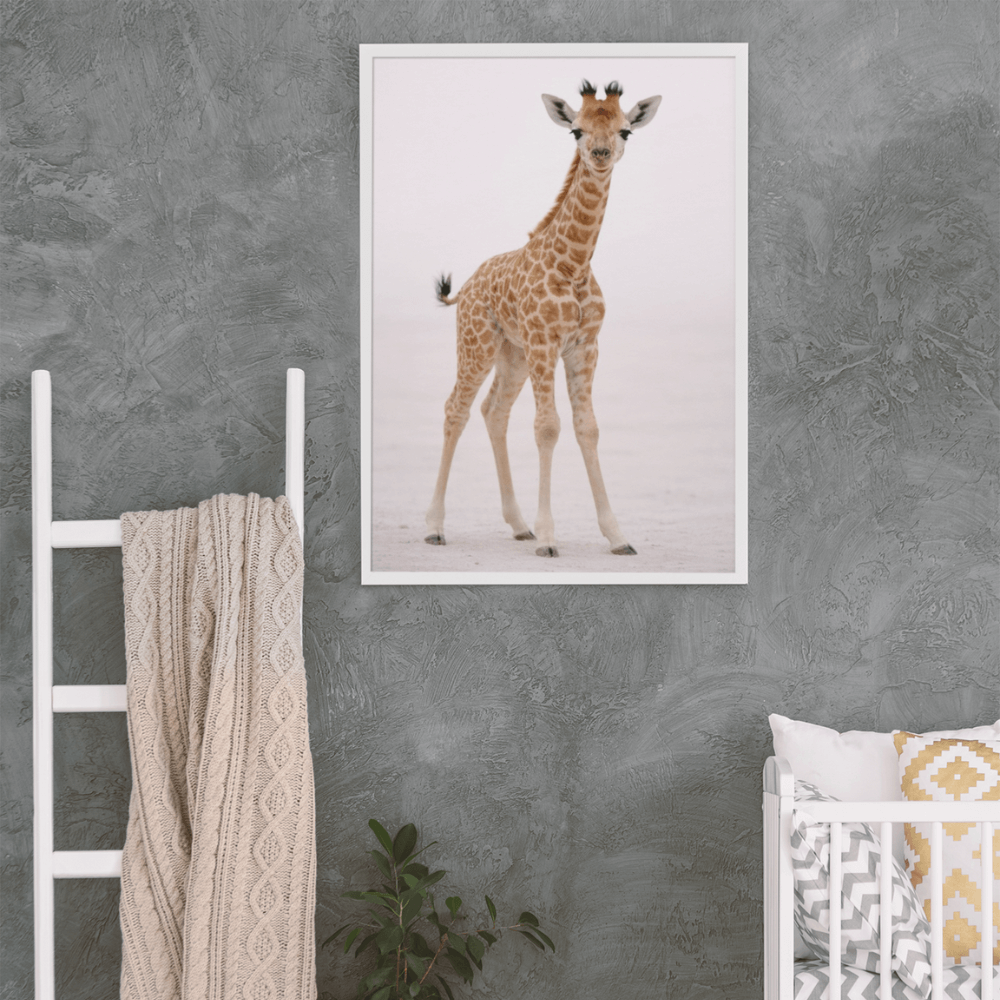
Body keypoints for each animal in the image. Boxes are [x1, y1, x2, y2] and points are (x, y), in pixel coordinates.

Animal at [425, 80, 661, 558]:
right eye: (576, 130)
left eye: (625, 130)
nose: (601, 153)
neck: (574, 264)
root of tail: (468, 286)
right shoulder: (544, 342)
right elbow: (548, 427)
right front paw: (550, 537)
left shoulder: (584, 347)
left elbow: (588, 428)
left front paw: (617, 536)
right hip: (478, 345)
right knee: (456, 409)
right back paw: (436, 526)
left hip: (512, 355)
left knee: (493, 411)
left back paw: (518, 525)